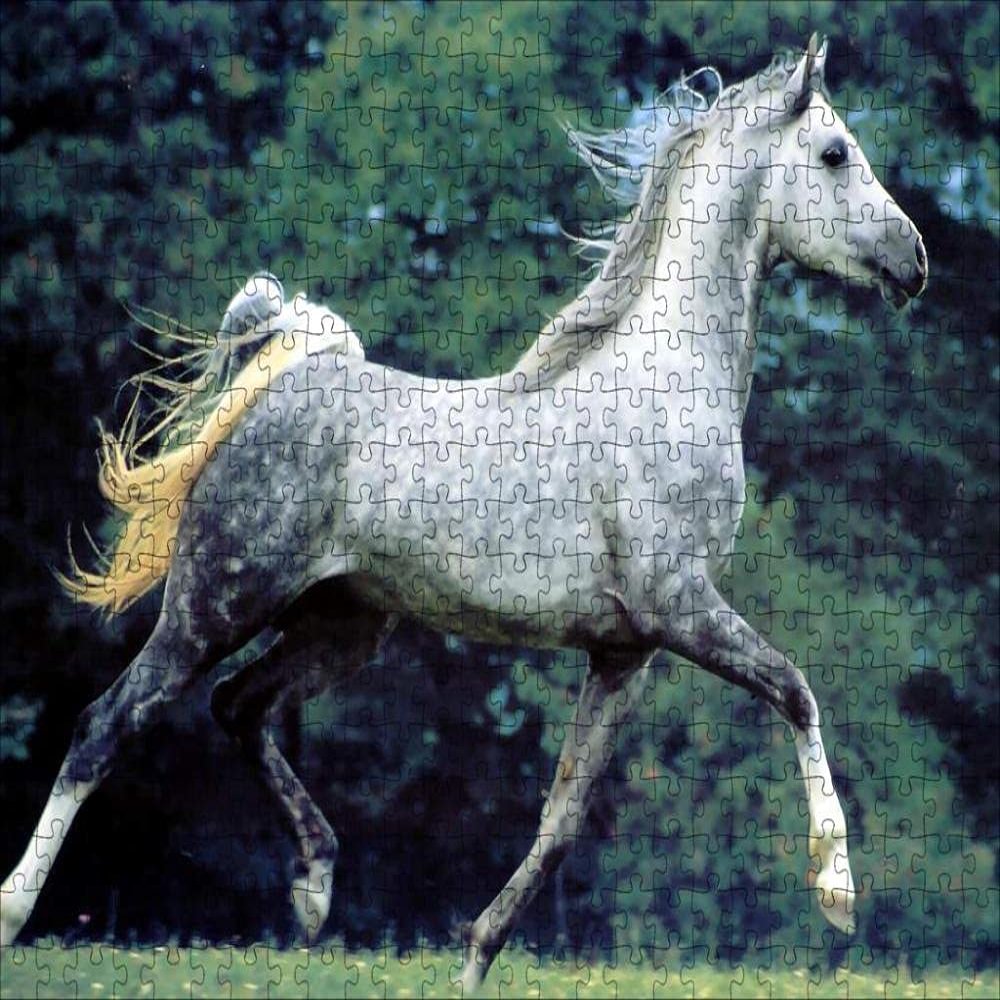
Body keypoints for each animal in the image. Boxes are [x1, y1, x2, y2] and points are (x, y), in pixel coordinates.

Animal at [1, 35, 926, 989]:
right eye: (835, 153)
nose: (915, 260)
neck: (665, 386)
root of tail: (277, 382)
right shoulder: (680, 606)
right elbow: (797, 691)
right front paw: (838, 892)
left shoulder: (625, 650)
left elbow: (559, 824)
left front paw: (473, 961)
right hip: (215, 604)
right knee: (105, 725)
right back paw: (14, 912)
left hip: (343, 624)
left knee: (238, 706)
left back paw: (315, 891)